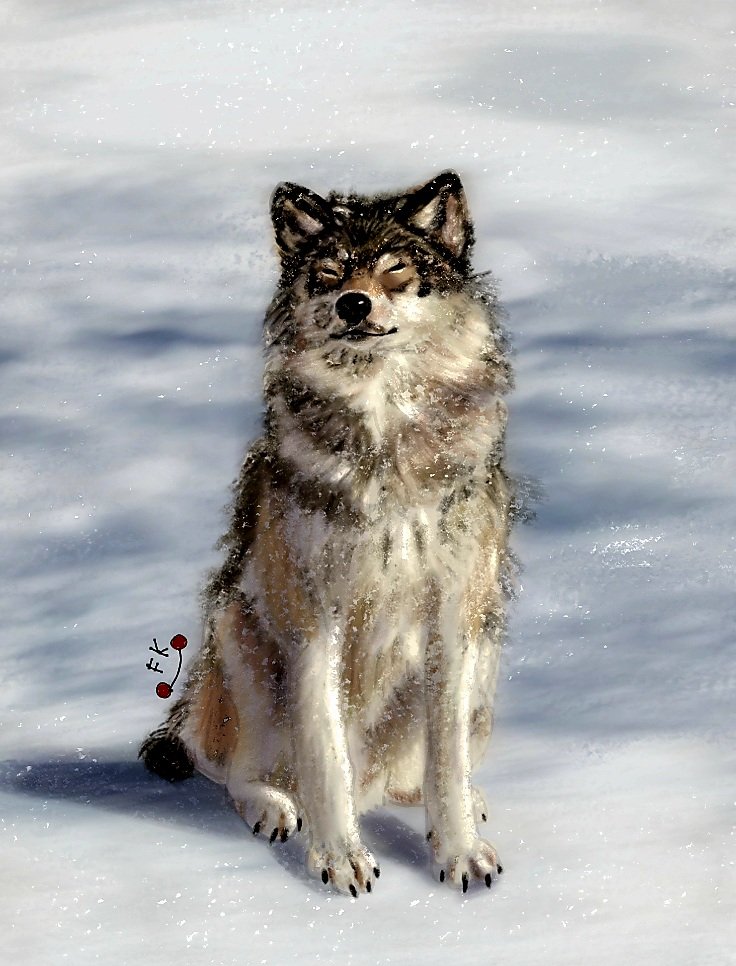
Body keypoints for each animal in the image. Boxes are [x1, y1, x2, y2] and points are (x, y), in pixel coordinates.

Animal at [140, 171, 514, 896]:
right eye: (330, 273)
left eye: (396, 269)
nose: (353, 303)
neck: (386, 436)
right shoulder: (312, 623)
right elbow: (323, 754)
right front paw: (339, 859)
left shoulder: (455, 622)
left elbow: (446, 761)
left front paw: (459, 853)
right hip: (243, 639)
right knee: (235, 773)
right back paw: (274, 809)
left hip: (483, 662)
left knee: (412, 775)